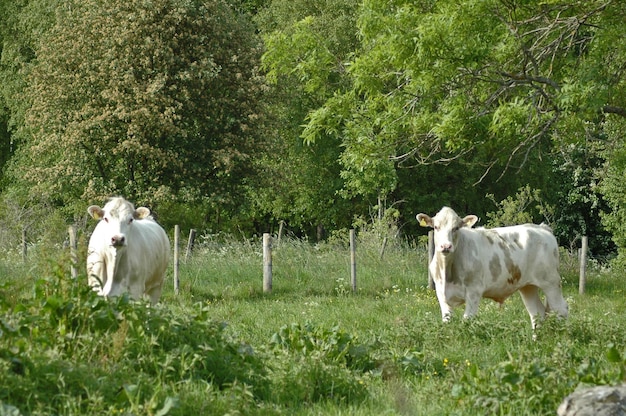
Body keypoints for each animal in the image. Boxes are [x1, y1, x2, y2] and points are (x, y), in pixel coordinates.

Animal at [414, 206, 564, 330]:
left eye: (456, 228)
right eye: (436, 227)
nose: (446, 246)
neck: (448, 270)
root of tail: (541, 228)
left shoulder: (474, 291)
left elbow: (467, 320)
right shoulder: (441, 293)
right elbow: (447, 321)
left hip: (551, 282)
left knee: (561, 309)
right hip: (528, 286)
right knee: (537, 314)